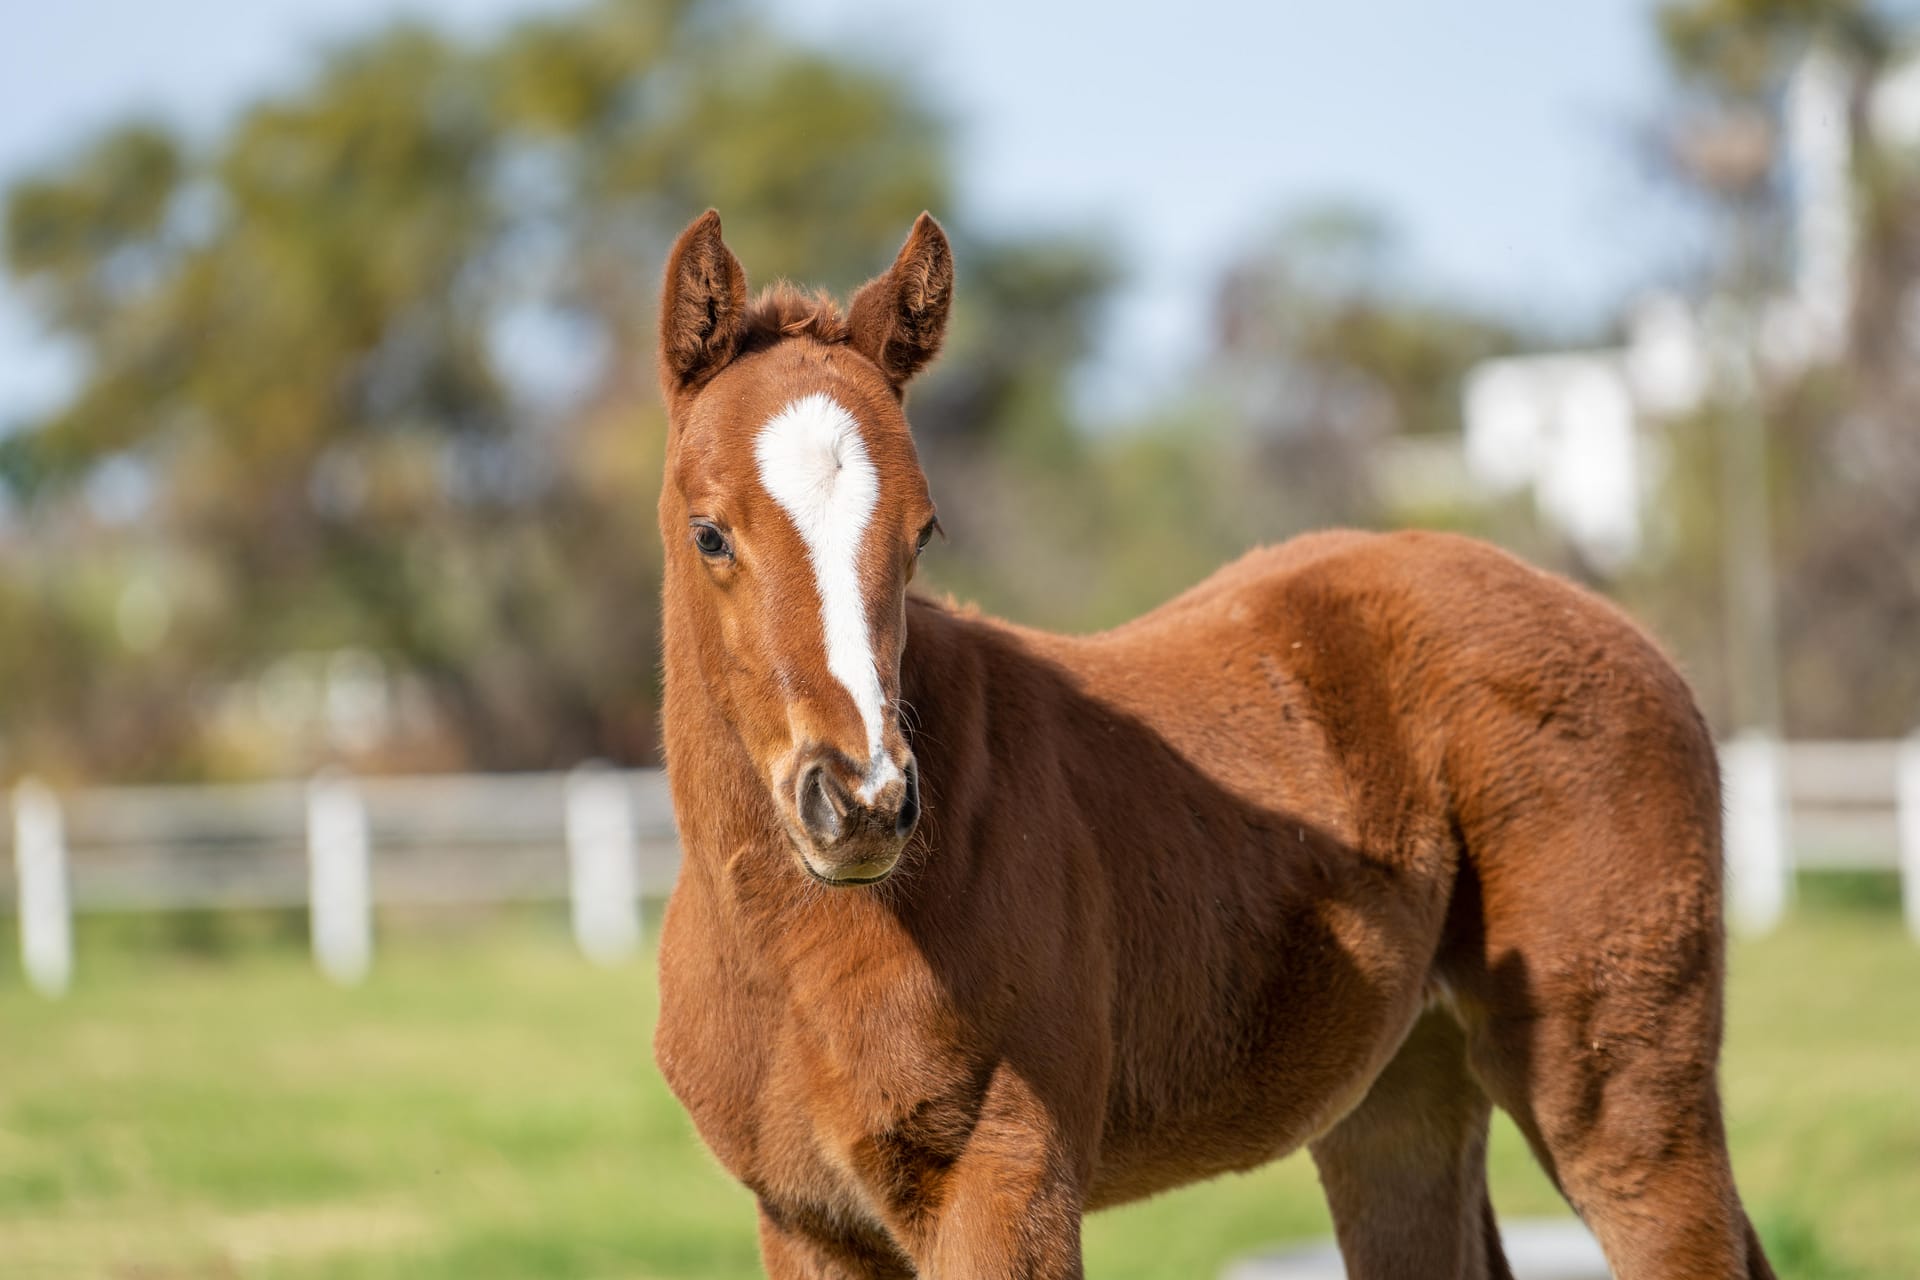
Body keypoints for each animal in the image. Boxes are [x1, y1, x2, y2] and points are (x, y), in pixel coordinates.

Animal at [652, 213, 1774, 1280]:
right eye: (710, 533)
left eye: (921, 533)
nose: (863, 802)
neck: (792, 950)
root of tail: (1627, 635)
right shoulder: (809, 1220)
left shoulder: (1009, 1185)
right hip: (1400, 1094)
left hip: (1621, 1097)